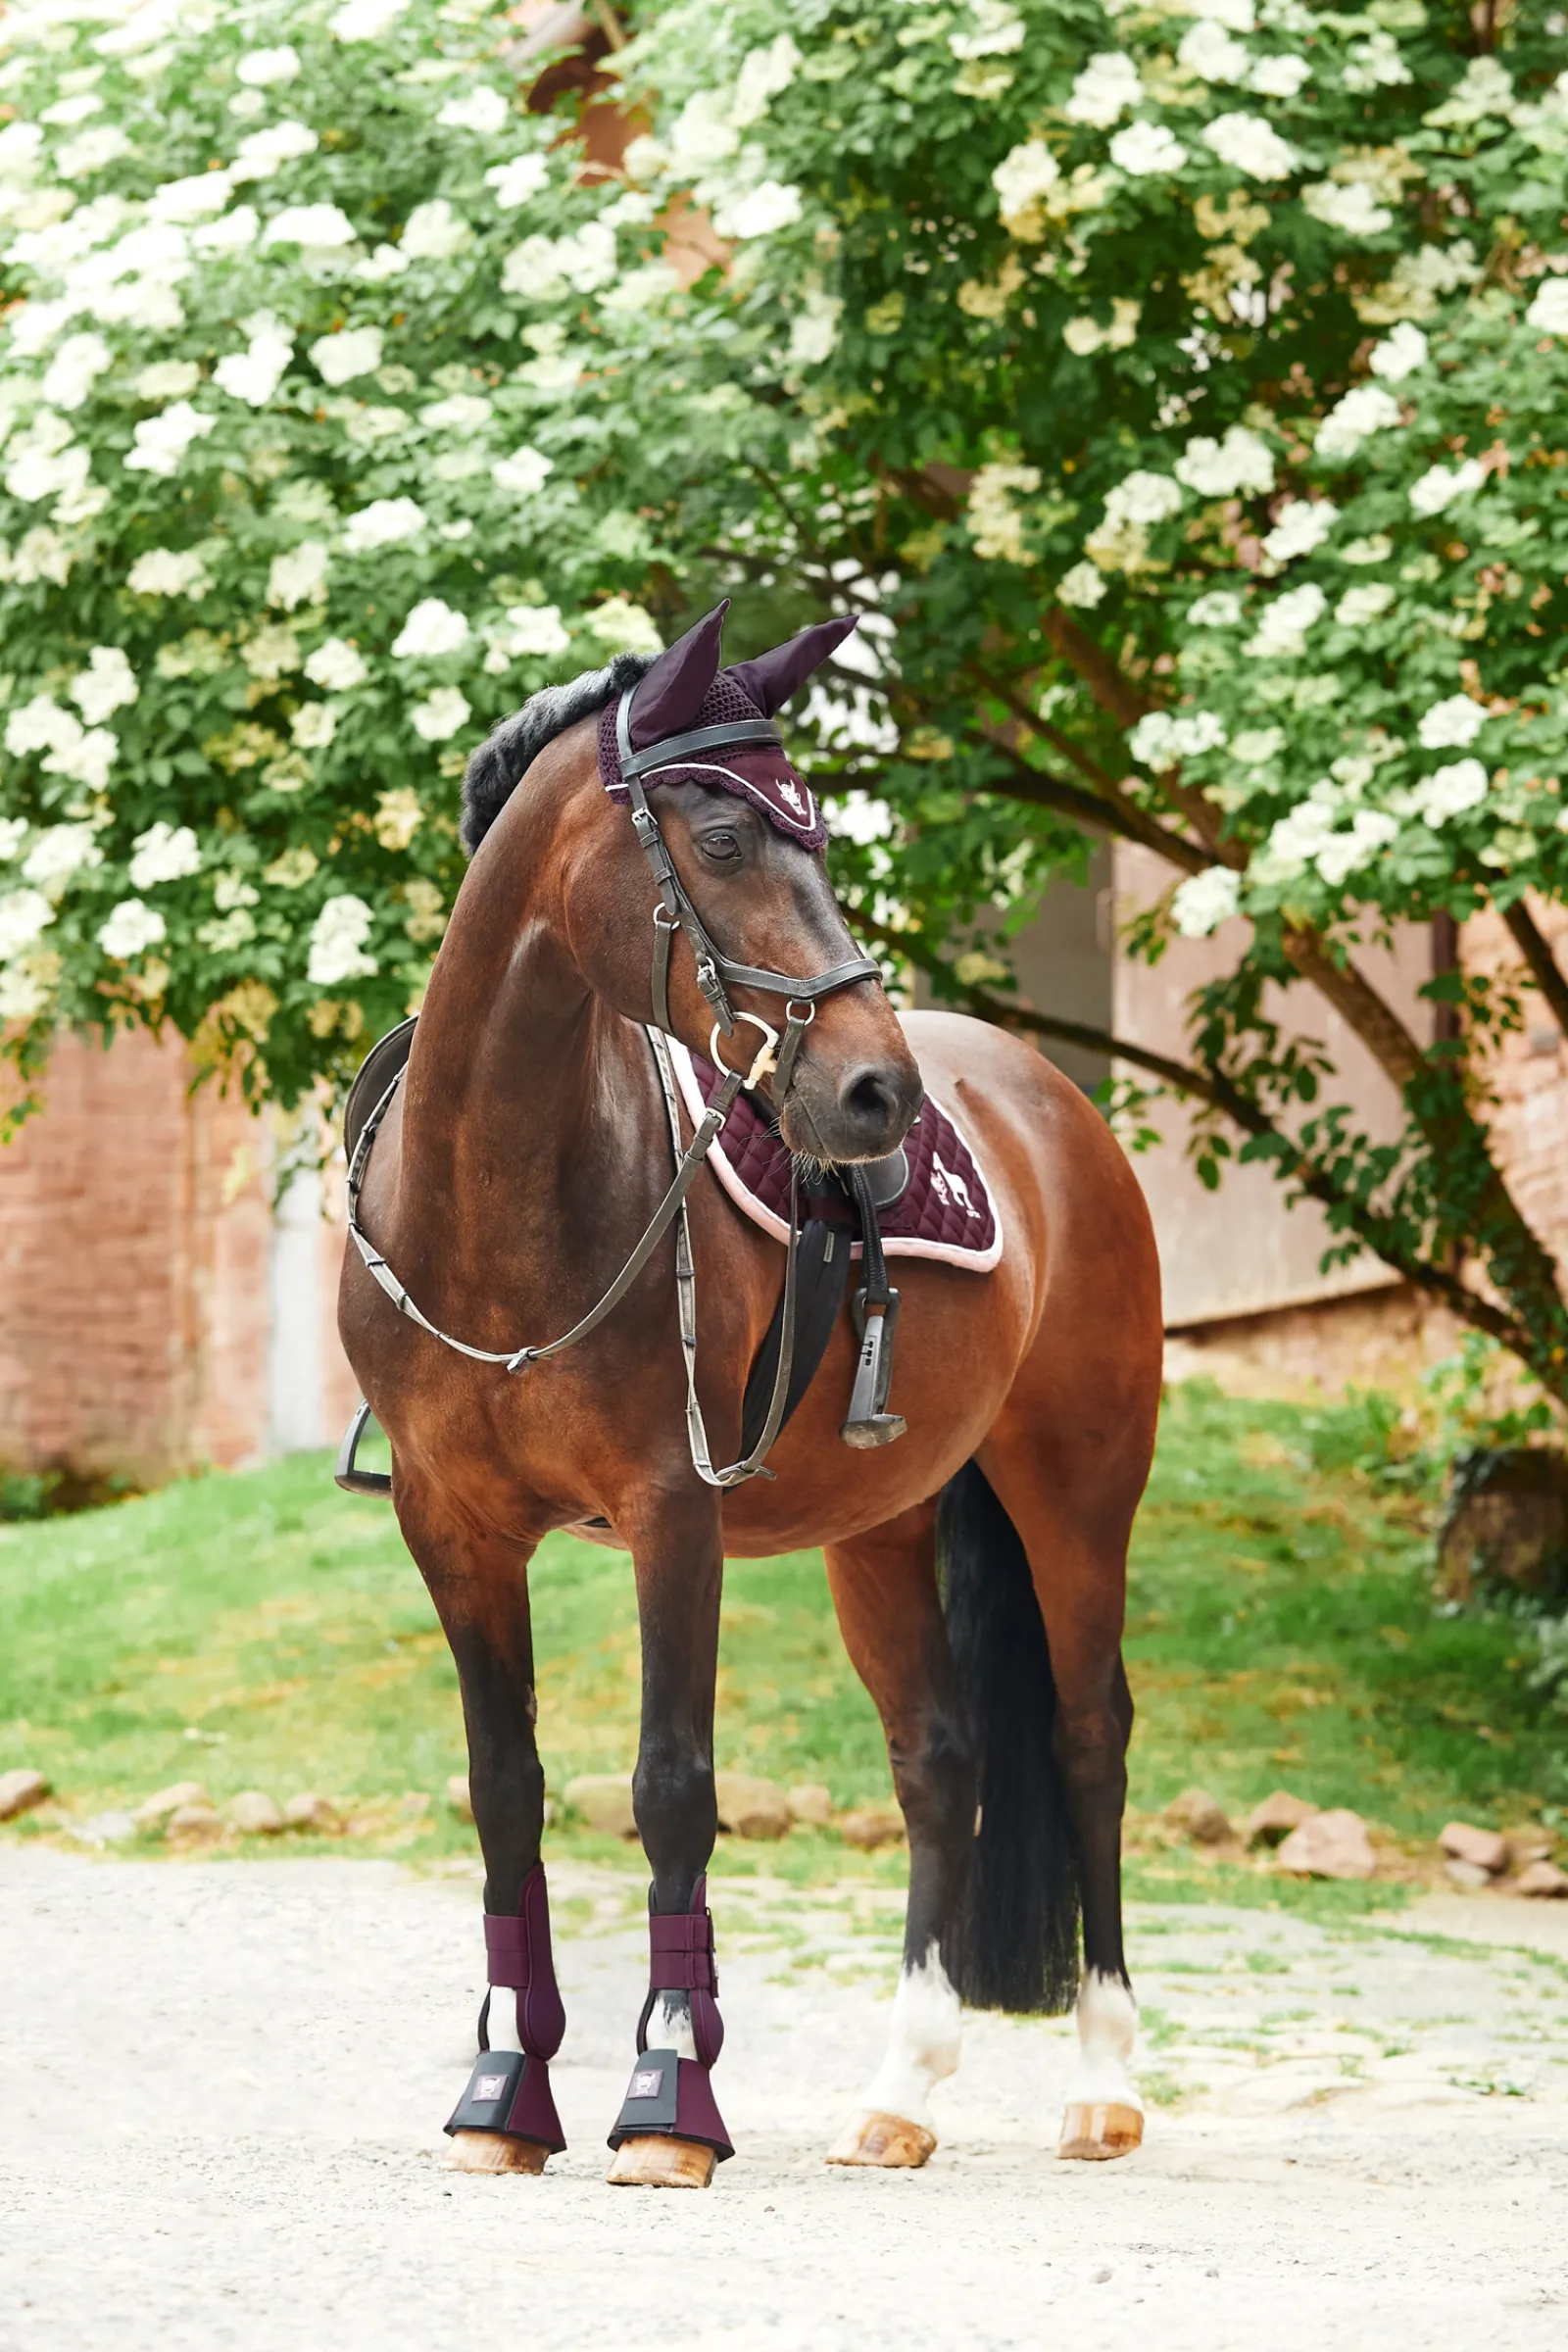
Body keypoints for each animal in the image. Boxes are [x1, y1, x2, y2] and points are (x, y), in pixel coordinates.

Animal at [337, 601, 1163, 2186]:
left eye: (823, 841)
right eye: (720, 839)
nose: (876, 1096)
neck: (497, 1205)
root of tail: (1047, 1096)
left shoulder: (674, 1511)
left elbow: (672, 1786)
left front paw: (668, 2099)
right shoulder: (449, 1527)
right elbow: (506, 1790)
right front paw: (501, 2093)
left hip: (1080, 1494)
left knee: (1087, 1739)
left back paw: (1103, 2084)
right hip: (883, 1526)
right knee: (939, 1761)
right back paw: (901, 2094)